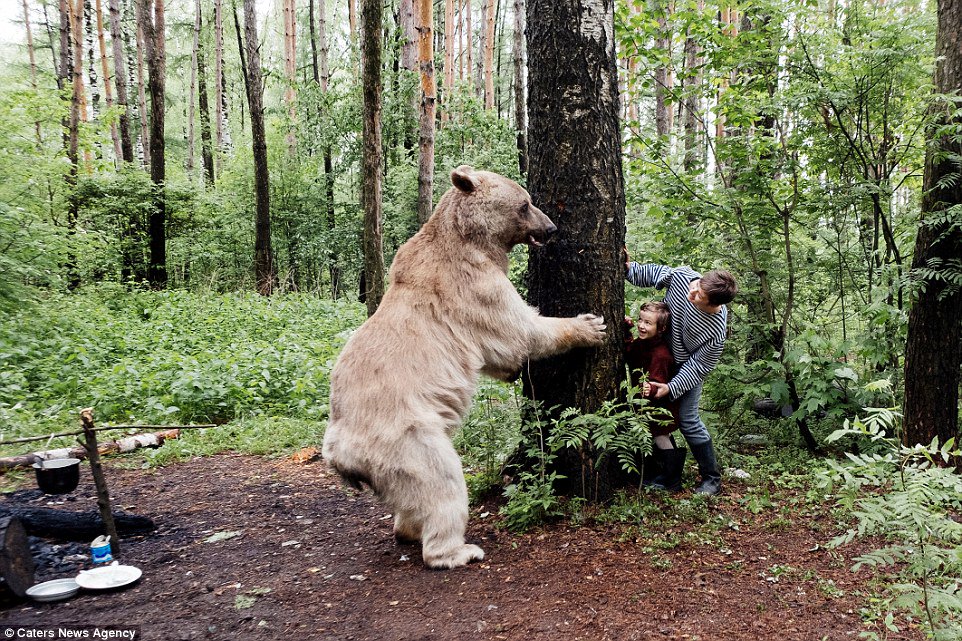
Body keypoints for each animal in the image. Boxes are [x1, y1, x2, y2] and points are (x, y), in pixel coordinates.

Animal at [324, 164, 608, 564]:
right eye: (525, 203)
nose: (551, 227)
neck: (471, 240)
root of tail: (338, 453)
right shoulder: (472, 286)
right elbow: (518, 331)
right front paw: (589, 326)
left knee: (408, 500)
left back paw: (408, 530)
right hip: (405, 436)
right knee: (441, 481)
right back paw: (457, 550)